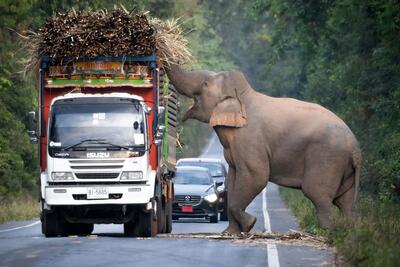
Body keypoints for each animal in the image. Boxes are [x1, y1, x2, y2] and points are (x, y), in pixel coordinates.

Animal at [164, 64, 360, 234]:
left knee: (319, 196)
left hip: (327, 158)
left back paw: (325, 234)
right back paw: (348, 234)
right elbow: (233, 178)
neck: (244, 96)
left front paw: (250, 224)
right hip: (344, 169)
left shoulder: (250, 138)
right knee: (345, 202)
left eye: (205, 84)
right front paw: (230, 233)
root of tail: (356, 148)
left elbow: (256, 176)